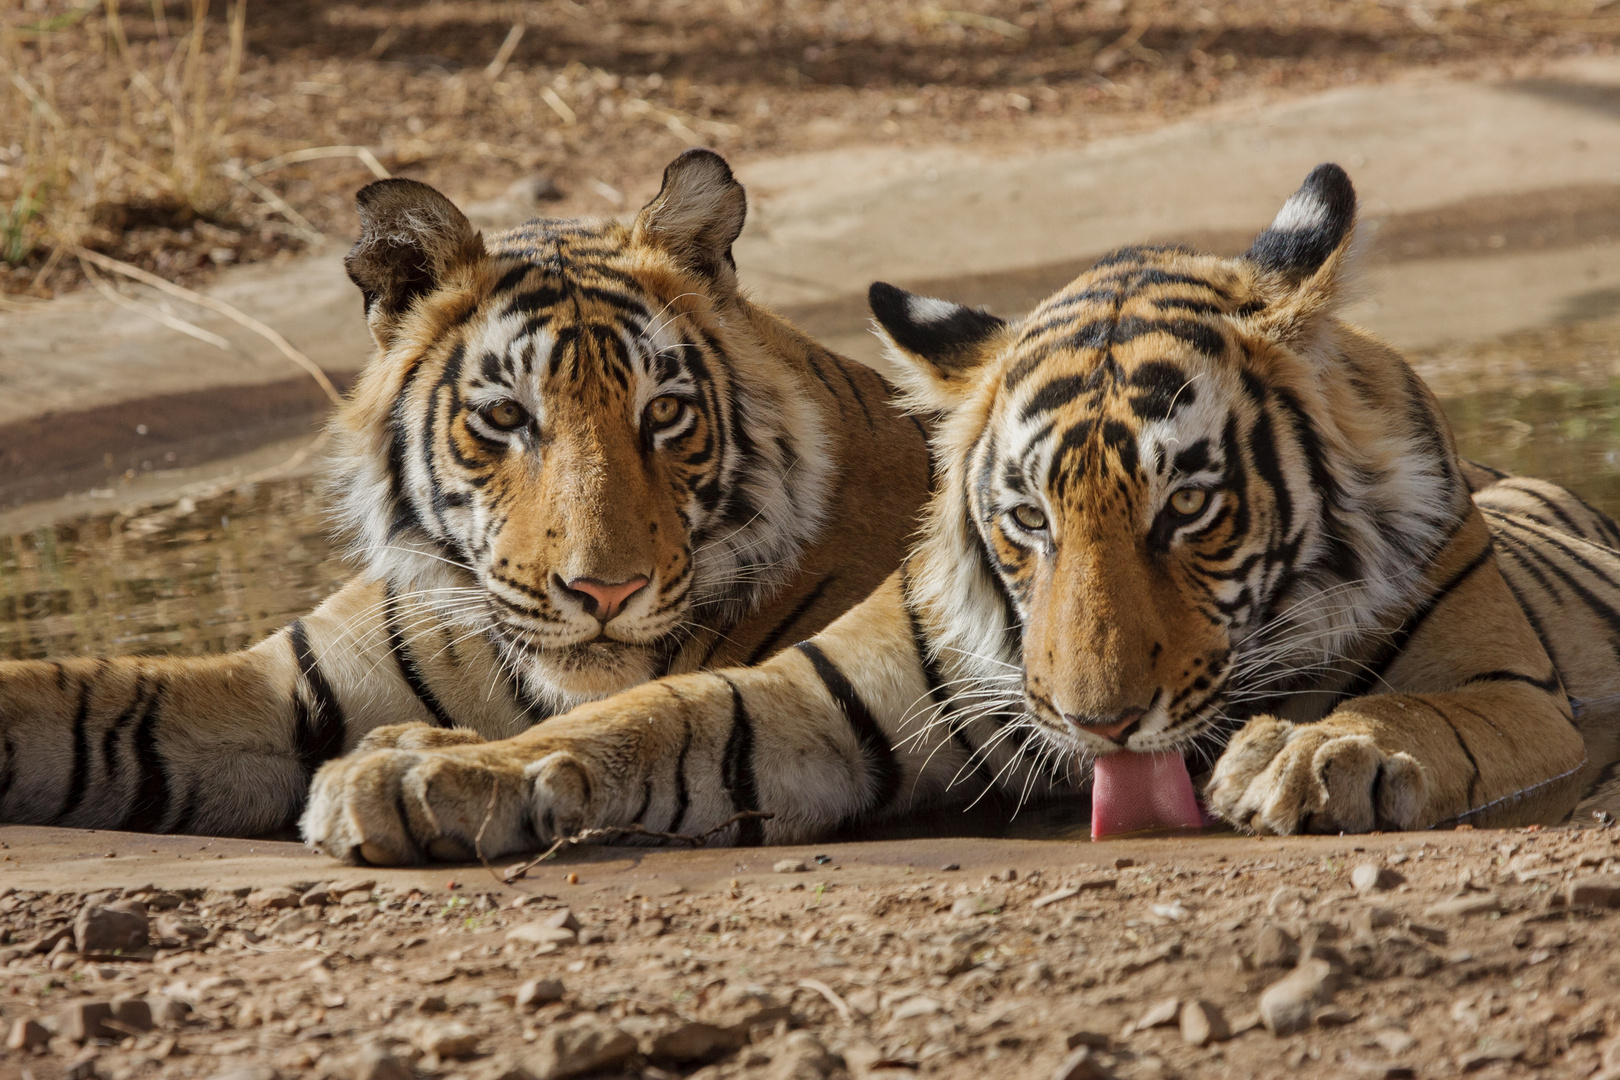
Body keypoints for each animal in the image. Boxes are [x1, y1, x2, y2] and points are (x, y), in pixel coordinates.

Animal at [301, 160, 1620, 861]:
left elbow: (1421, 711)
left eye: (1190, 507)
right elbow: (651, 712)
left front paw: (1313, 748)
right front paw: (418, 775)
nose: (1098, 723)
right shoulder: (821, 693)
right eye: (1029, 521)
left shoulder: (1509, 693)